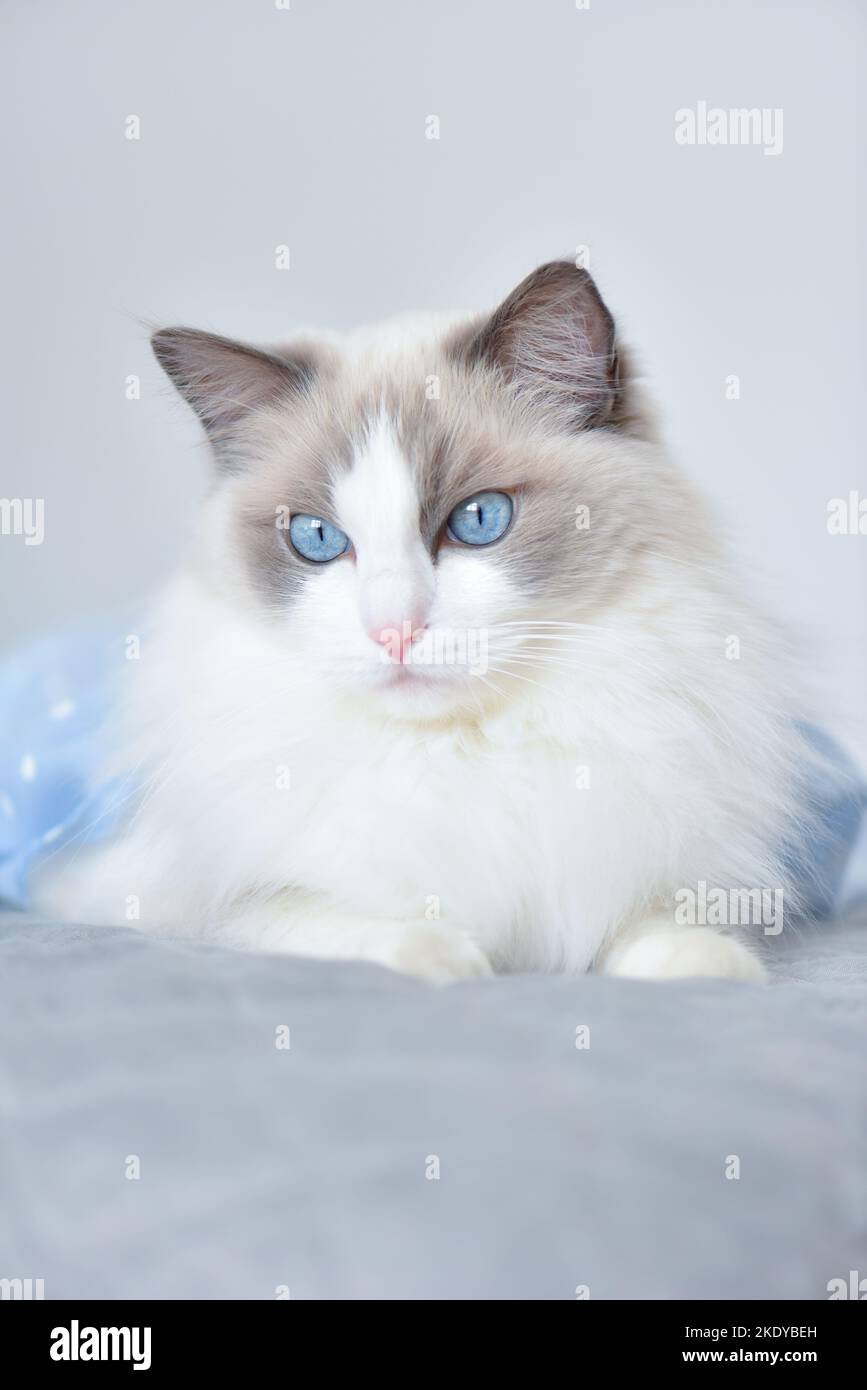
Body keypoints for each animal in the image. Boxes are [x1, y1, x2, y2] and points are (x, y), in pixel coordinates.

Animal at [35, 265, 816, 984]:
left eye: (479, 520)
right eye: (317, 538)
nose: (394, 631)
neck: (460, 755)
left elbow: (655, 926)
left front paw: (702, 970)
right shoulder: (182, 895)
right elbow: (339, 919)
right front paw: (447, 960)